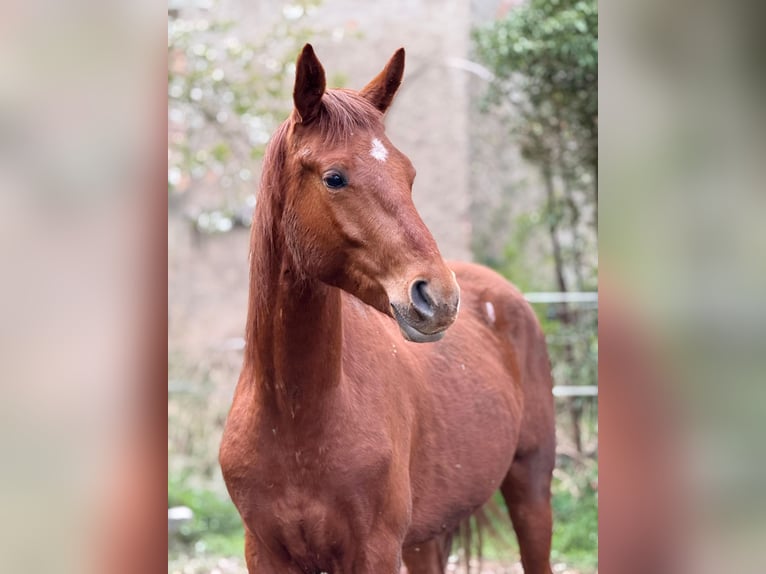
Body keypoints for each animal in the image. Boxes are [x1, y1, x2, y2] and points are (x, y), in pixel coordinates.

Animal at [219, 44, 556, 574]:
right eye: (335, 178)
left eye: (409, 174)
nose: (438, 297)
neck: (294, 418)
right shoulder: (265, 553)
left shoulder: (374, 551)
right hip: (425, 540)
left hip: (531, 492)